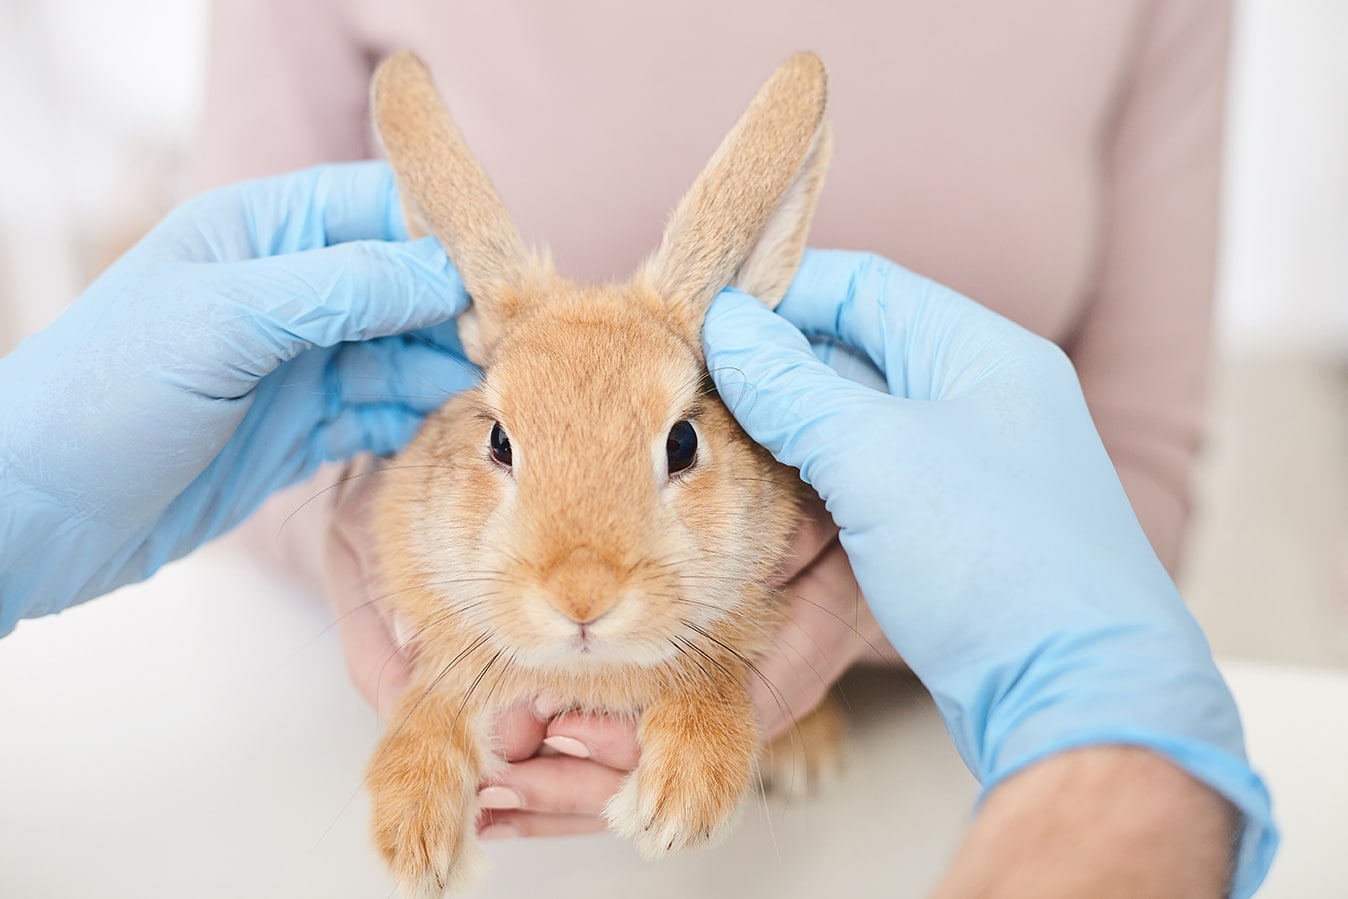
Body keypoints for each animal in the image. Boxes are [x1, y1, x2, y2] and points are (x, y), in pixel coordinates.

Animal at [369, 50, 841, 899]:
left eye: (683, 441)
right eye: (499, 440)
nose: (582, 596)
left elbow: (711, 671)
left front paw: (678, 803)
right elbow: (435, 697)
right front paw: (414, 837)